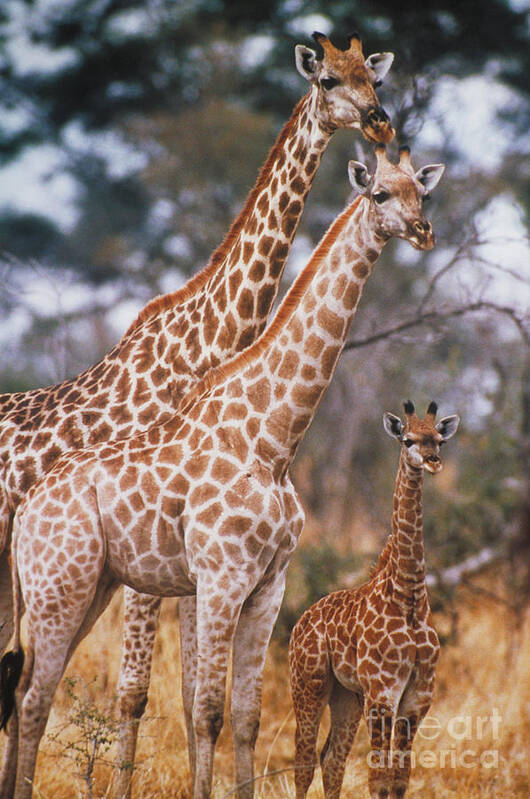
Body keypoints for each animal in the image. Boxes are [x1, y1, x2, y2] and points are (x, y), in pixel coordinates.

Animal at [0, 31, 392, 799]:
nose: (378, 119)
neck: (213, 338)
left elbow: (186, 697)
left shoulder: (185, 561)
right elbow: (135, 692)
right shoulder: (154, 558)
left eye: (373, 76)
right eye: (328, 80)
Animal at [286, 404, 456, 799]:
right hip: (309, 684)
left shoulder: (417, 698)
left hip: (346, 695)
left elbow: (399, 778)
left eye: (439, 440)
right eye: (407, 439)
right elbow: (378, 779)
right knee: (304, 760)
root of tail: (301, 621)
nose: (433, 461)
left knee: (332, 758)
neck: (408, 597)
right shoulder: (382, 693)